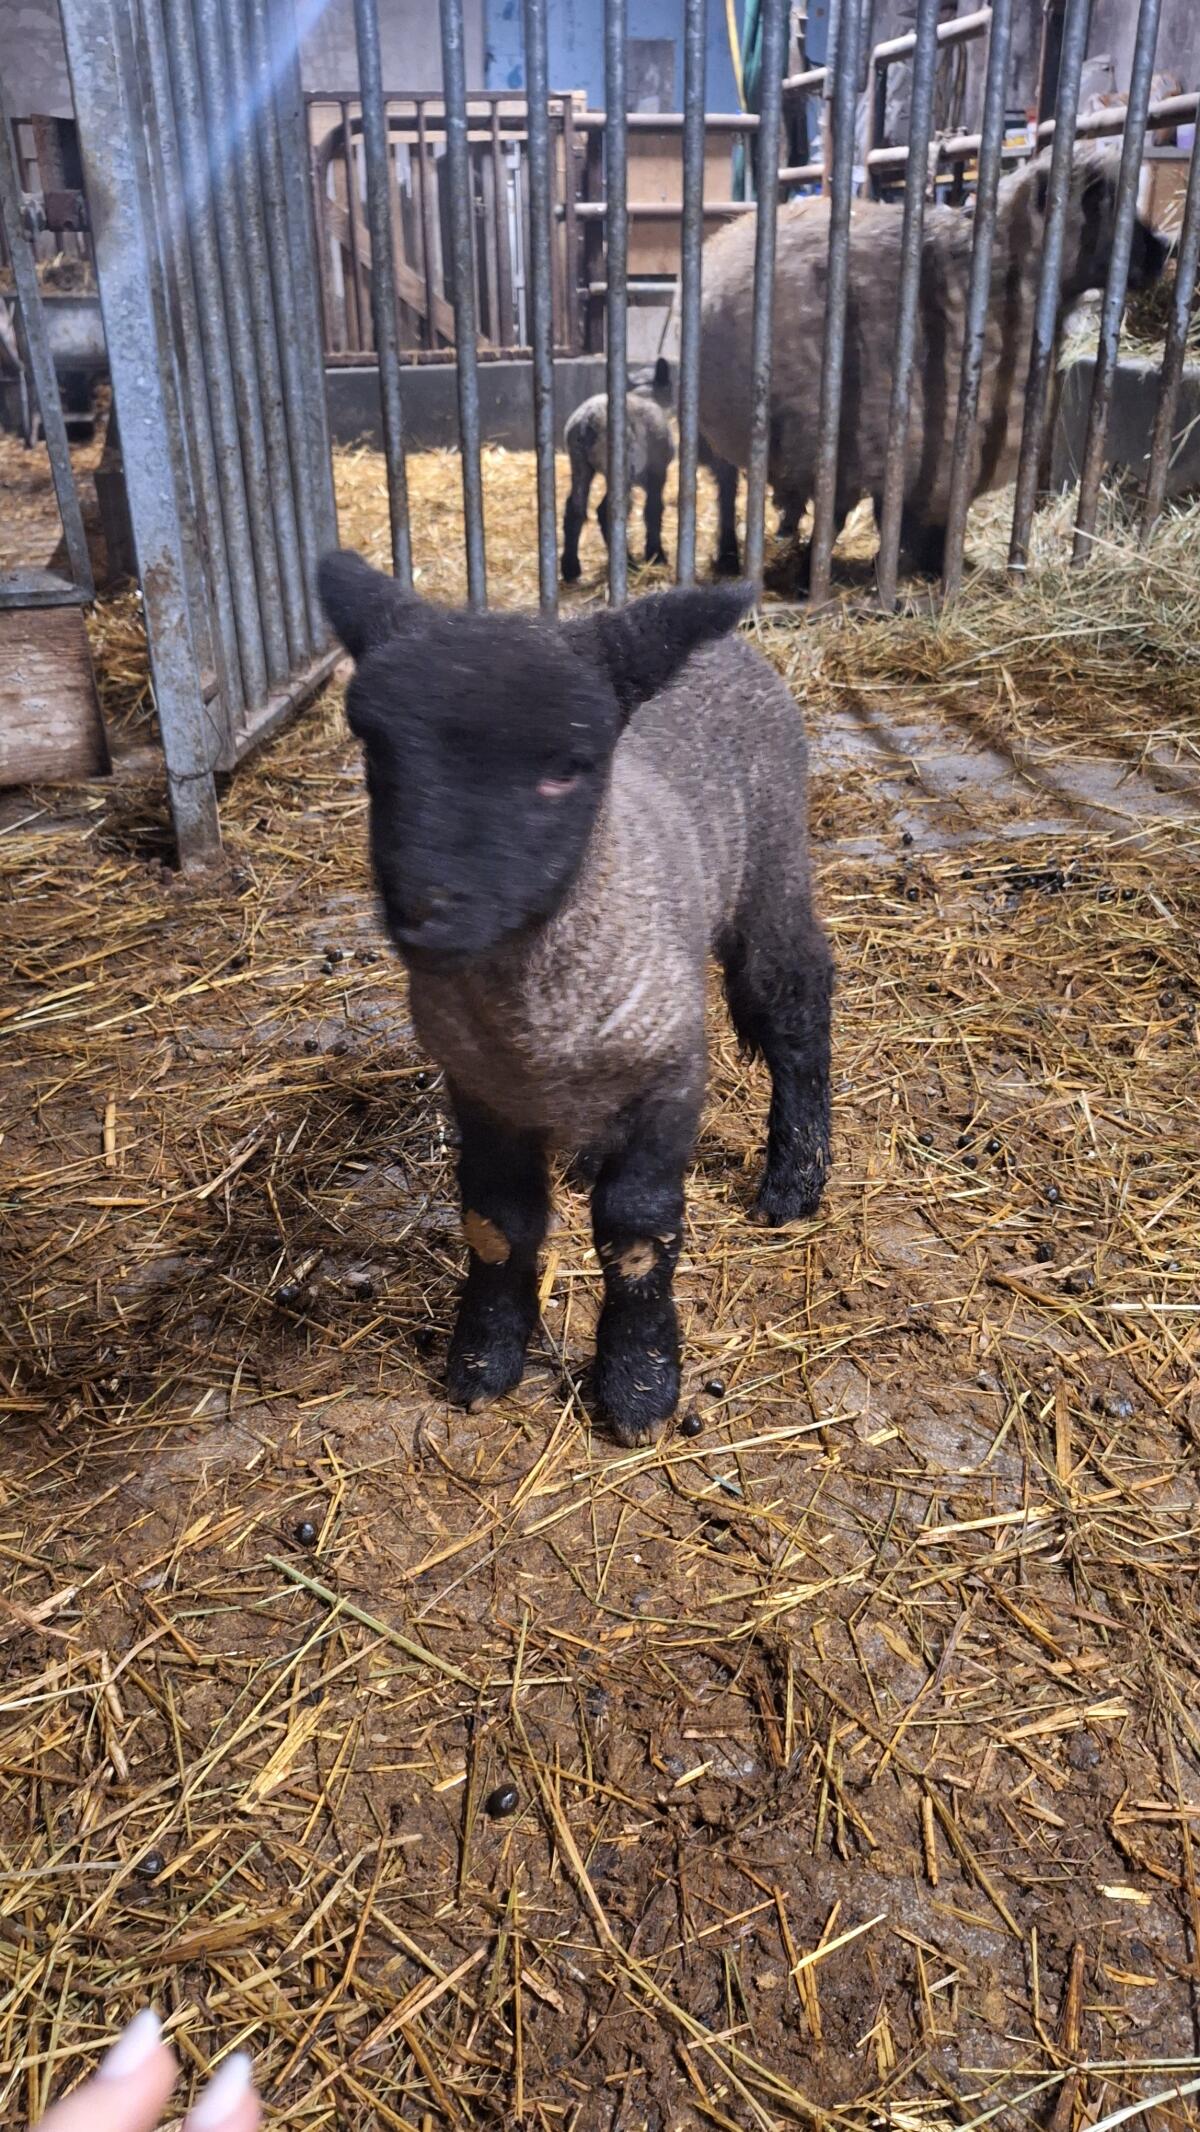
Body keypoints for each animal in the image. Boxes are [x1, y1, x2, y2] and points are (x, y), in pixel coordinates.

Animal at [319, 551, 832, 1447]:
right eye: (375, 750)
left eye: (567, 767)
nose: (429, 914)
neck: (533, 1013)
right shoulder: (479, 1091)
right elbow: (497, 1223)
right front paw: (484, 1359)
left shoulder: (670, 1072)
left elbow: (637, 1229)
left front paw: (637, 1383)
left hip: (771, 862)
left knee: (796, 996)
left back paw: (796, 1179)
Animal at [561, 356, 675, 583]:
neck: (645, 394)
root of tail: (587, 421)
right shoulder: (658, 471)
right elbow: (654, 509)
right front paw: (656, 555)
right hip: (621, 470)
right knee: (607, 511)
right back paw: (628, 564)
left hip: (579, 463)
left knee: (574, 508)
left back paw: (570, 568)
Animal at [696, 144, 1170, 583]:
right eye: (1098, 199)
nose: (1166, 248)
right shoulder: (860, 448)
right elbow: (856, 518)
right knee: (726, 491)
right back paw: (732, 554)